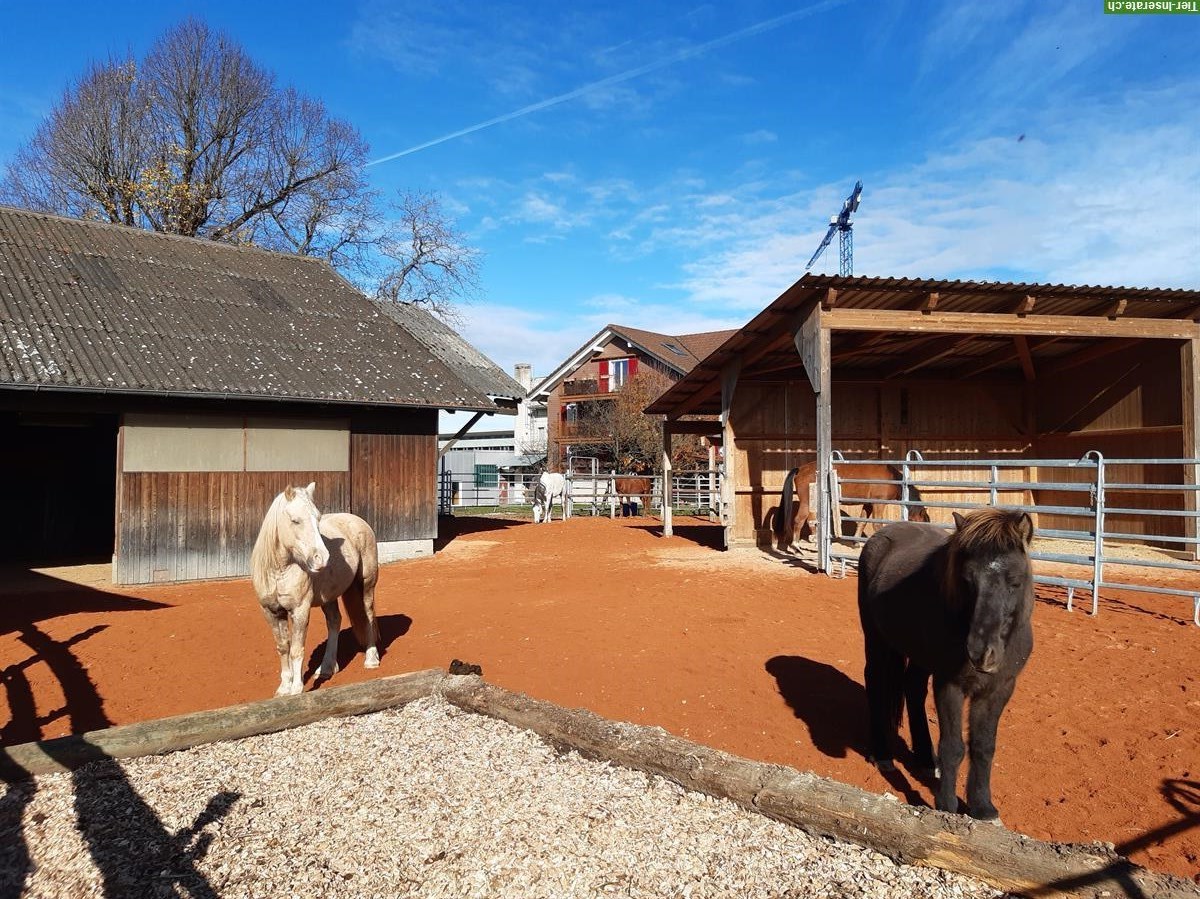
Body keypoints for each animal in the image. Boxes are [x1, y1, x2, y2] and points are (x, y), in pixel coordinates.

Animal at [250, 484, 381, 696]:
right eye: (295, 520)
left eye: (318, 518)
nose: (322, 558)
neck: (280, 572)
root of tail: (357, 521)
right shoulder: (271, 612)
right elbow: (283, 647)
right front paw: (284, 688)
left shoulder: (300, 610)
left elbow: (297, 649)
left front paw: (296, 689)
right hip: (329, 597)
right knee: (334, 621)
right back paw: (327, 668)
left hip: (366, 584)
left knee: (368, 615)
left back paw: (371, 659)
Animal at [772, 458, 931, 549]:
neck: (892, 479)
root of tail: (800, 469)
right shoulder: (878, 504)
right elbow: (877, 524)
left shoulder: (868, 504)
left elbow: (862, 522)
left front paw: (856, 543)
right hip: (807, 503)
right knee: (799, 520)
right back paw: (796, 545)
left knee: (810, 520)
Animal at [859, 504, 1036, 820]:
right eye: (967, 581)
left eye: (1015, 581)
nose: (981, 653)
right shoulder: (949, 684)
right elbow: (953, 746)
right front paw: (947, 806)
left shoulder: (998, 690)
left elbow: (983, 746)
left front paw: (982, 807)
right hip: (877, 640)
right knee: (876, 682)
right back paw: (883, 755)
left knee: (912, 689)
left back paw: (926, 759)